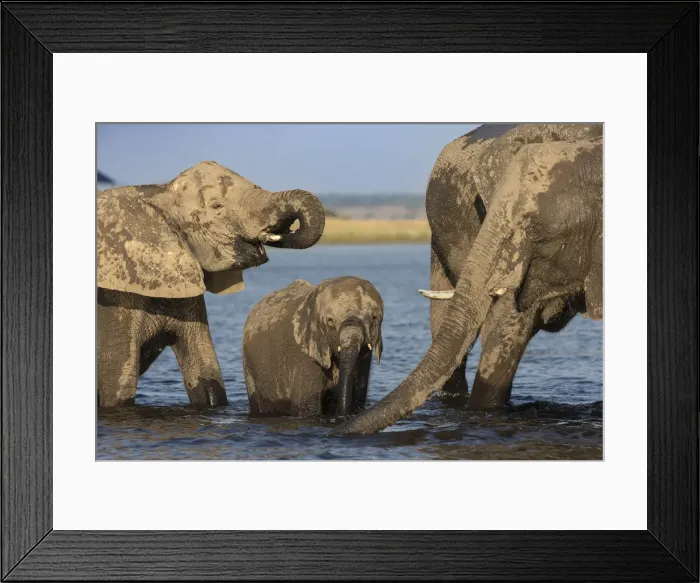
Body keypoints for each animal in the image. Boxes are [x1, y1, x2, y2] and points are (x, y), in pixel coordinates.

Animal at [97, 161, 325, 409]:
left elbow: (206, 370)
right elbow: (117, 384)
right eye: (217, 206)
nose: (284, 232)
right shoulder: (116, 299)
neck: (160, 195)